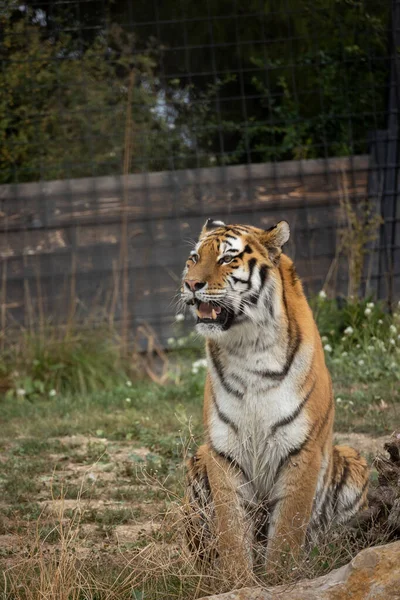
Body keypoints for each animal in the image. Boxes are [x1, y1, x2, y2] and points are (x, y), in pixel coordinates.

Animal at [180, 218, 368, 584]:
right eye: (194, 258)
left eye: (227, 259)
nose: (190, 283)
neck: (247, 349)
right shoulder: (223, 451)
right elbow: (232, 529)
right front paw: (237, 582)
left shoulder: (301, 449)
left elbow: (286, 530)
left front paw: (279, 579)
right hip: (197, 463)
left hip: (353, 462)